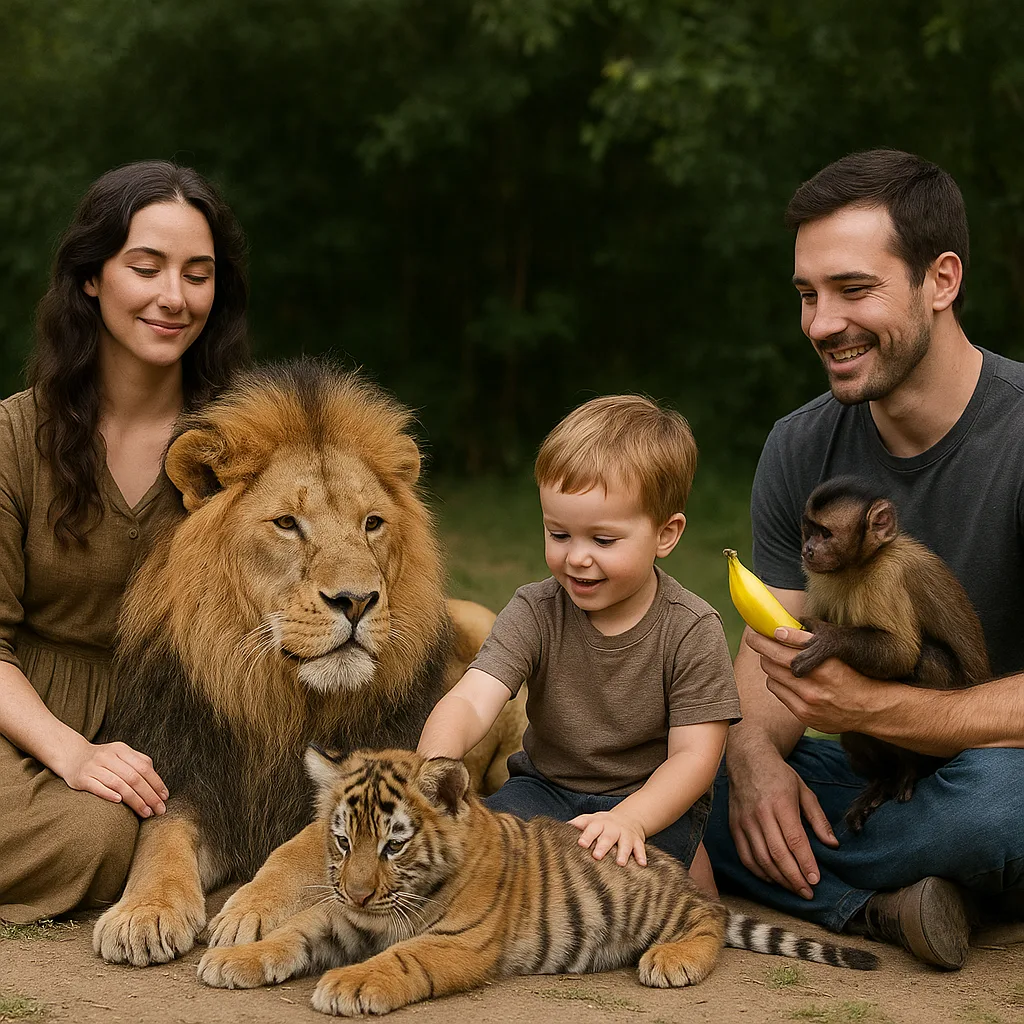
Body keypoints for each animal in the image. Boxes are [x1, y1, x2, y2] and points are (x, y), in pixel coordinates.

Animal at [92, 360, 525, 967]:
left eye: (372, 523)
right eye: (287, 524)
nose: (356, 601)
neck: (281, 697)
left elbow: (299, 850)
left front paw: (250, 914)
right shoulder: (194, 775)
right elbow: (161, 839)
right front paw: (142, 913)